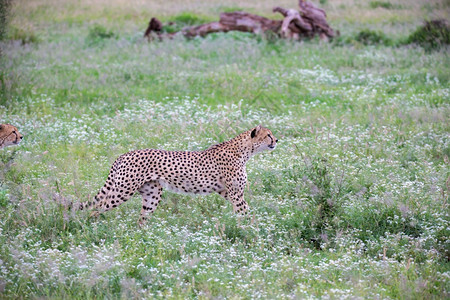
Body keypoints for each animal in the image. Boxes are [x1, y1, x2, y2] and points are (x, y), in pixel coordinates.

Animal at [81, 125, 278, 225]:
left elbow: (245, 209)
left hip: (152, 194)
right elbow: (243, 211)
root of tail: (124, 154)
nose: (276, 140)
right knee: (95, 210)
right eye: (268, 135)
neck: (245, 150)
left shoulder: (226, 192)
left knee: (141, 219)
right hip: (122, 191)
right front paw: (250, 228)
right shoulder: (235, 192)